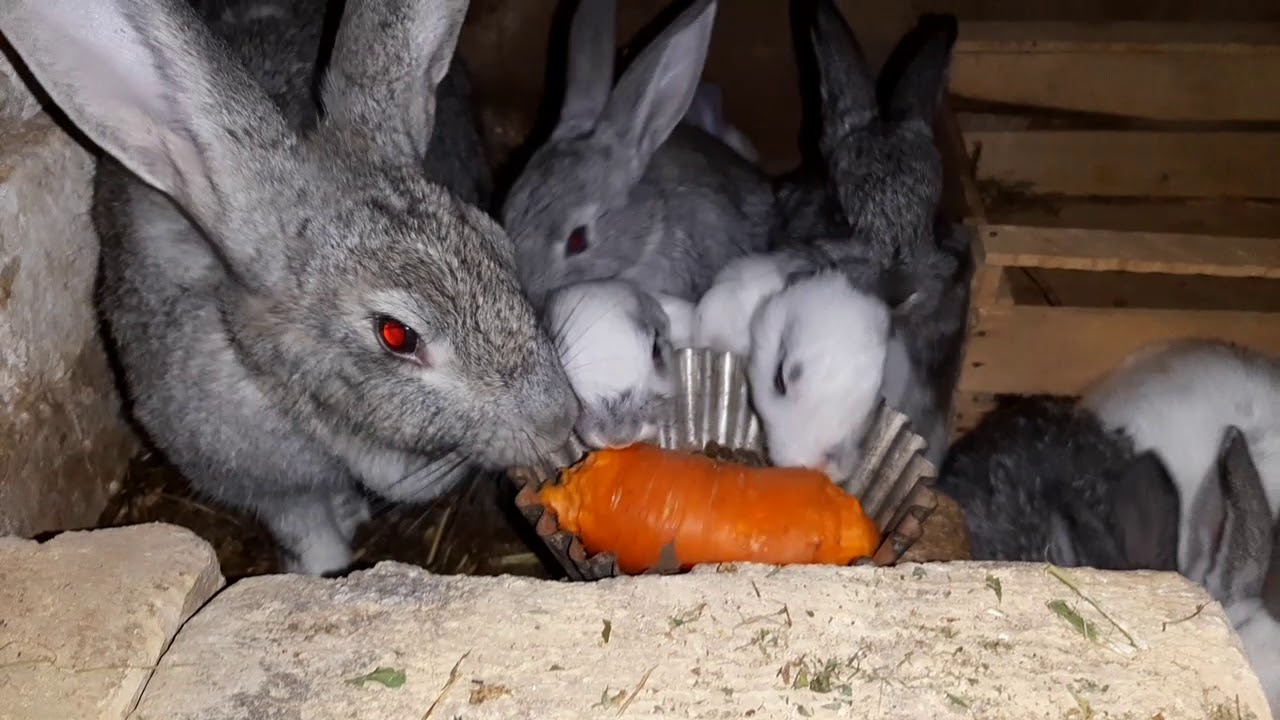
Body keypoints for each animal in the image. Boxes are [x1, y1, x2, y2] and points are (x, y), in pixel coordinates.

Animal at [0, 0, 581, 573]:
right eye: (396, 335)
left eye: (499, 243)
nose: (558, 421)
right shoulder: (268, 488)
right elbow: (308, 530)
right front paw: (326, 570)